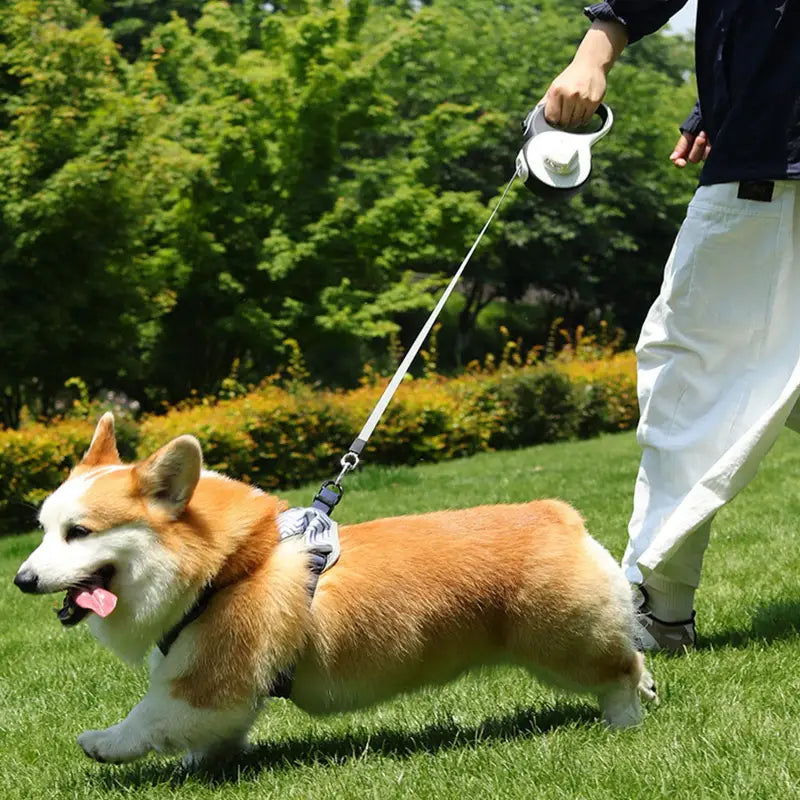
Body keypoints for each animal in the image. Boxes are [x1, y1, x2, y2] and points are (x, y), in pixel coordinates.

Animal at [12, 416, 656, 764]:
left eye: (79, 533)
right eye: (43, 529)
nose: (21, 580)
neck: (221, 566)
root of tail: (558, 515)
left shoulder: (206, 680)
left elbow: (148, 717)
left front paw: (104, 743)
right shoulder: (223, 693)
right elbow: (208, 735)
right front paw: (201, 764)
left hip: (561, 644)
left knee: (617, 671)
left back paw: (624, 723)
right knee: (632, 652)